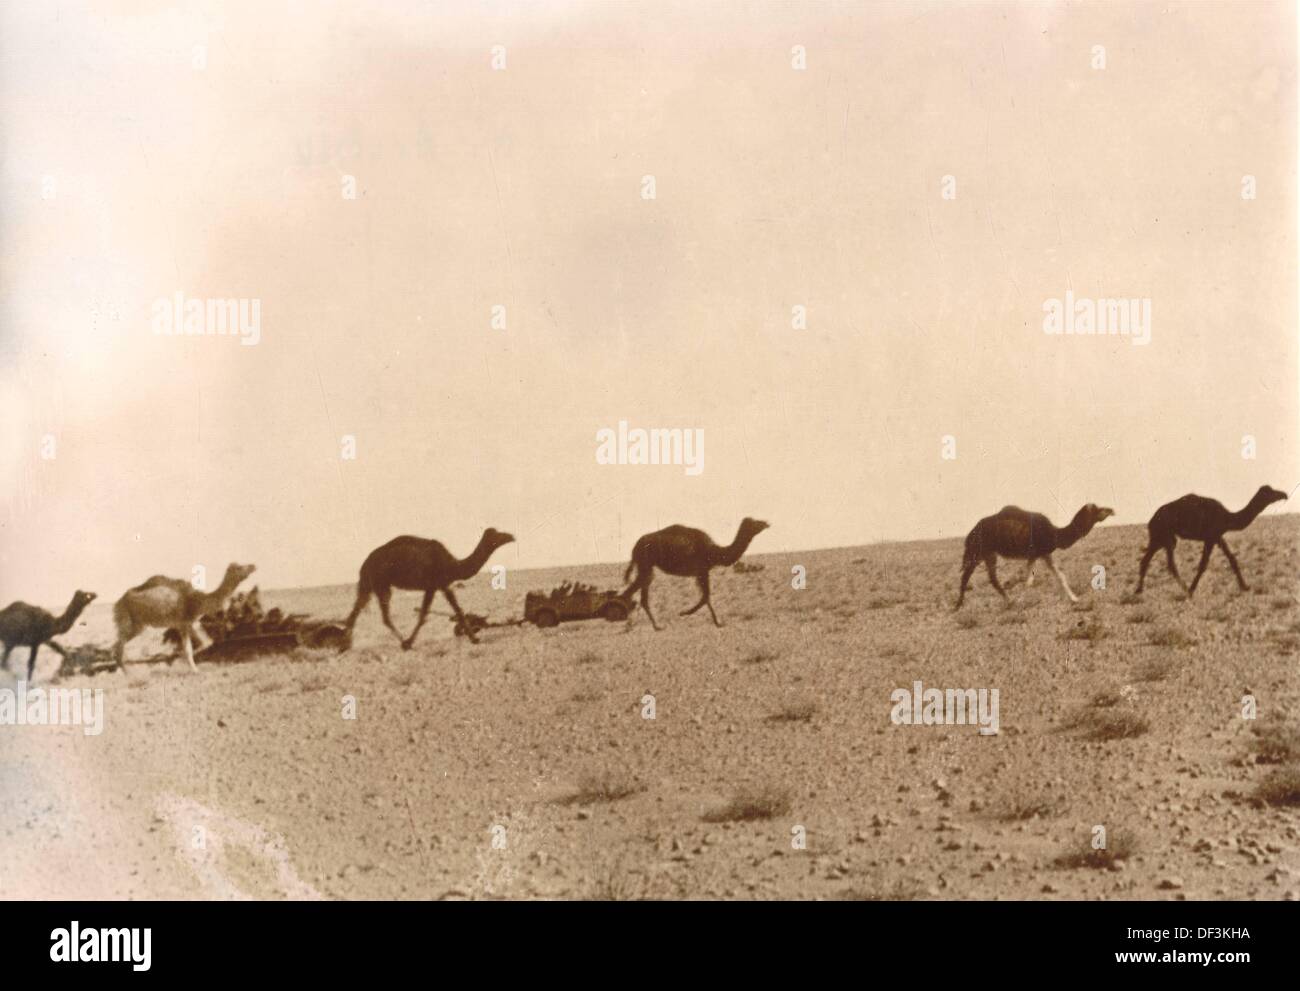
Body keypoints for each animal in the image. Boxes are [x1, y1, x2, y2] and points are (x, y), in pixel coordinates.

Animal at [114, 559, 256, 665]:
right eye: (239, 567)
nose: (253, 566)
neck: (196, 601)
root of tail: (117, 603)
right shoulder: (181, 624)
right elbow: (188, 649)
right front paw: (187, 664)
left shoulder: (191, 623)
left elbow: (207, 643)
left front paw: (188, 665)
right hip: (128, 619)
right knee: (119, 644)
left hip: (138, 626)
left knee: (118, 645)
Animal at [343, 525, 514, 647]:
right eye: (496, 534)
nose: (511, 536)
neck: (452, 565)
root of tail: (365, 563)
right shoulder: (435, 584)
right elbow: (427, 614)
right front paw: (409, 642)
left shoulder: (441, 585)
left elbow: (454, 609)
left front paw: (474, 638)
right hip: (380, 584)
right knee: (382, 616)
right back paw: (402, 641)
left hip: (371, 584)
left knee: (357, 609)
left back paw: (344, 644)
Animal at [621, 517, 764, 624]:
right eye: (755, 522)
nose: (766, 523)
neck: (714, 552)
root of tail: (635, 546)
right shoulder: (702, 570)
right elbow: (706, 596)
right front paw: (684, 613)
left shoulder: (701, 573)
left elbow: (706, 597)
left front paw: (717, 622)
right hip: (645, 563)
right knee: (633, 591)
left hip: (647, 566)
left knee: (642, 593)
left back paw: (656, 626)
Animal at [956, 504, 1118, 606]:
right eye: (1098, 509)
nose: (1112, 510)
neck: (1055, 534)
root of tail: (971, 533)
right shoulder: (1035, 554)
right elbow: (1029, 582)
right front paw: (1020, 601)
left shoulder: (1044, 554)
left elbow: (1060, 576)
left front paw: (1074, 599)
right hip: (979, 552)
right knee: (966, 577)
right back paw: (959, 605)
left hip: (988, 554)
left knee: (991, 578)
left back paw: (1008, 600)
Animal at [1133, 483, 1284, 595]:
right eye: (1270, 492)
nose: (1284, 495)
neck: (1227, 517)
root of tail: (1151, 520)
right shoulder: (1210, 537)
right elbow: (1203, 565)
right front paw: (1192, 589)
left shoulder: (1218, 536)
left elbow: (1232, 559)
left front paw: (1245, 586)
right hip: (1163, 535)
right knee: (1167, 563)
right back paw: (1184, 588)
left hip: (1162, 538)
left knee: (1149, 560)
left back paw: (1139, 590)